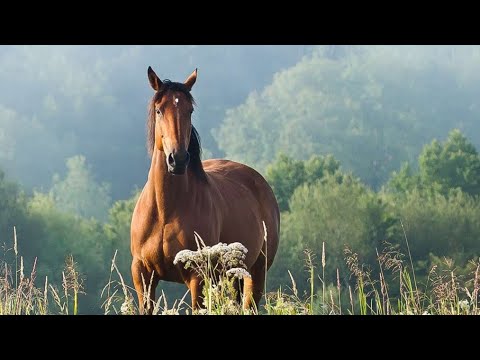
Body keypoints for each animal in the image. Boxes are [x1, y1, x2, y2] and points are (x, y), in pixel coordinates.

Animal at [130, 66, 282, 314]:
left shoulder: (197, 278)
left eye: (190, 110)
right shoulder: (143, 275)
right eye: (159, 110)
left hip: (254, 274)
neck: (165, 211)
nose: (178, 159)